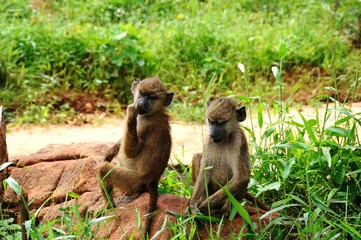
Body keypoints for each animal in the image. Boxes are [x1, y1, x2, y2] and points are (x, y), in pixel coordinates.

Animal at [97, 77, 173, 236]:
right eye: (142, 93)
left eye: (152, 97)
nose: (141, 104)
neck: (153, 113)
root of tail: (153, 181)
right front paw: (110, 152)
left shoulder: (145, 126)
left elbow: (131, 151)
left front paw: (131, 113)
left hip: (134, 182)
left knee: (104, 169)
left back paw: (109, 206)